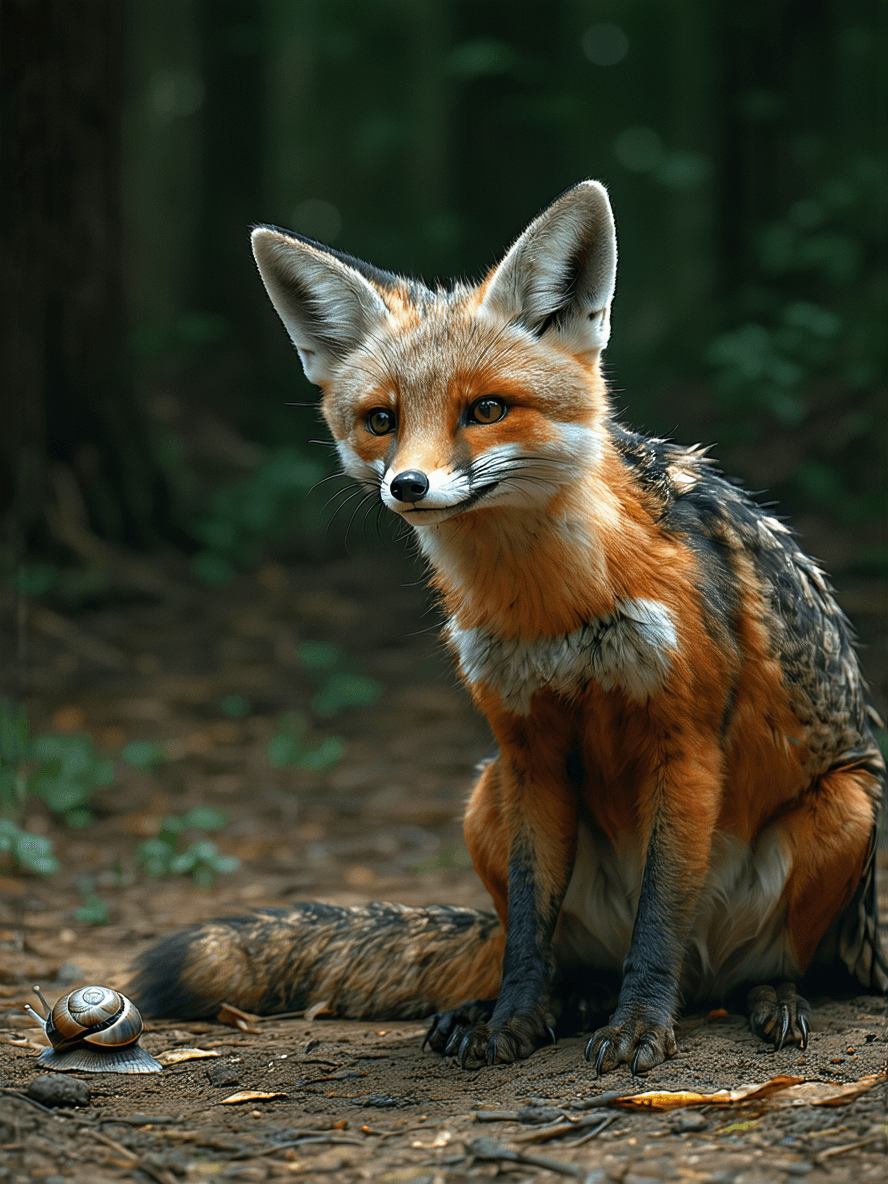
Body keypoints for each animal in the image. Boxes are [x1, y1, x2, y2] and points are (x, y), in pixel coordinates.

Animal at [129, 181, 886, 1074]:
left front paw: (639, 1026)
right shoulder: (528, 746)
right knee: (555, 951)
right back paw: (538, 1002)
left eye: (486, 409)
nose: (408, 486)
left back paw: (769, 997)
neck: (554, 605)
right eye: (381, 420)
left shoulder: (686, 741)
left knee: (766, 969)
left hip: (847, 809)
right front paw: (513, 1021)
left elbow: (659, 921)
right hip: (484, 794)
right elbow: (527, 925)